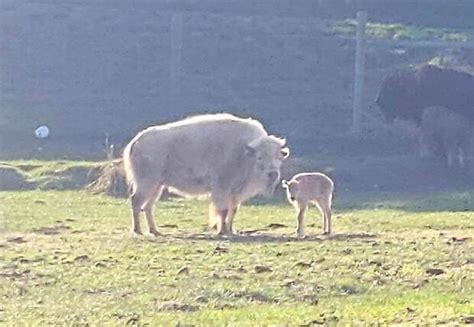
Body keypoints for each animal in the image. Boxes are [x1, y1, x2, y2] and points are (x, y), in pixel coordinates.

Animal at [122, 113, 288, 236]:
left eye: (279, 157)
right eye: (260, 157)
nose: (273, 173)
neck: (243, 153)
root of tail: (136, 141)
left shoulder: (235, 192)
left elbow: (233, 210)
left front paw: (231, 230)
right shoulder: (222, 188)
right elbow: (222, 210)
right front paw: (222, 231)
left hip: (157, 186)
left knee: (148, 206)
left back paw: (155, 231)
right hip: (147, 183)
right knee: (136, 201)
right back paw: (138, 230)